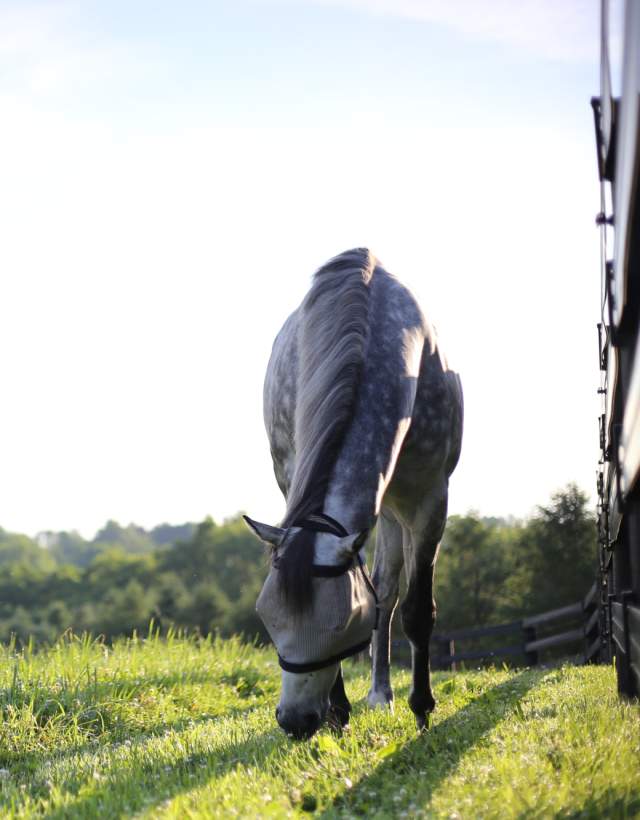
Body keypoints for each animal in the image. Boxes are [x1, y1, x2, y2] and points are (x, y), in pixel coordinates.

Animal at [245, 248, 463, 739]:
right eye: (267, 617)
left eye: (342, 622)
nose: (295, 720)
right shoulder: (294, 478)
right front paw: (339, 713)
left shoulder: (428, 500)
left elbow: (415, 610)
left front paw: (423, 709)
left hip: (398, 510)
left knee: (388, 592)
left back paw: (385, 694)